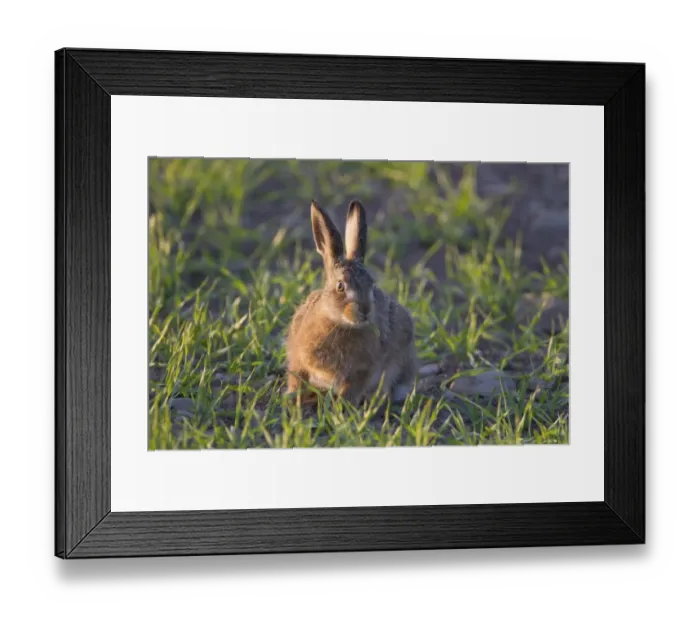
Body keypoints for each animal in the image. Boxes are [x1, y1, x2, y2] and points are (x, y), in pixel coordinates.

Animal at [285, 199, 418, 406]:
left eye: (372, 285)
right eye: (340, 286)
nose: (365, 310)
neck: (337, 323)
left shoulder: (362, 371)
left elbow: (351, 390)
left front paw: (343, 407)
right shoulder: (298, 359)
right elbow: (296, 377)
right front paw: (291, 397)